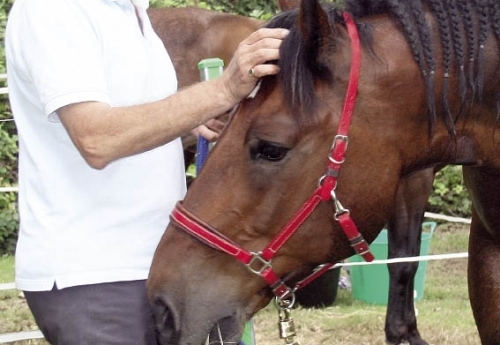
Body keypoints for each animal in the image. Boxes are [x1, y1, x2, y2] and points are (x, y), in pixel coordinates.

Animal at [146, 3, 464, 344]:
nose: (162, 309)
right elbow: (405, 260)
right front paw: (404, 332)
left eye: (271, 149)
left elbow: (406, 260)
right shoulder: (416, 176)